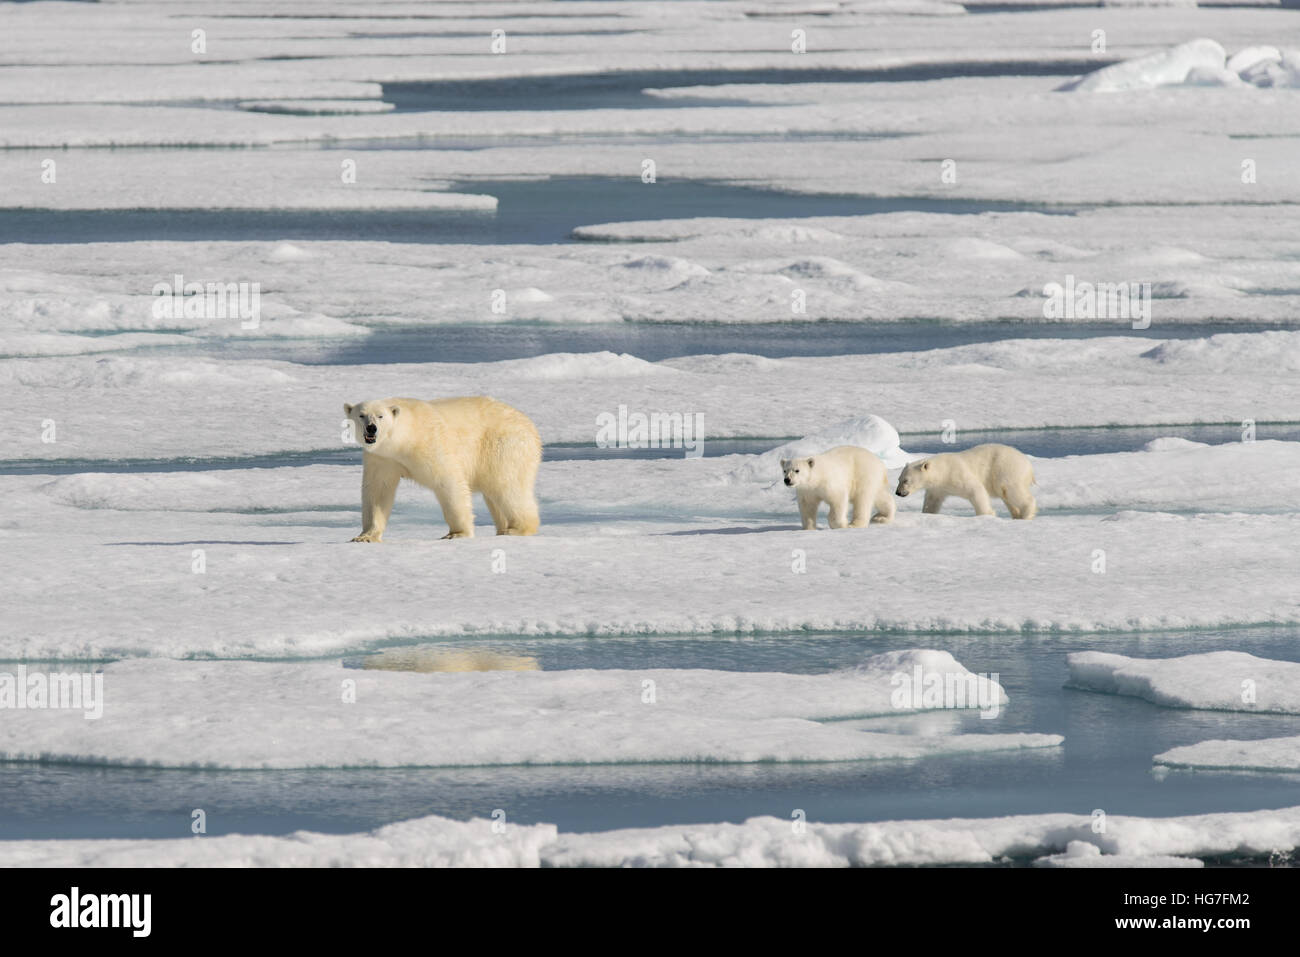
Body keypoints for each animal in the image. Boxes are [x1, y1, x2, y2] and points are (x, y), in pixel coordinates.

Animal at [343, 396, 541, 541]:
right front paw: (365, 536)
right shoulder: (383, 458)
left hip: (503, 446)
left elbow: (449, 481)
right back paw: (503, 529)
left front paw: (457, 533)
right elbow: (378, 491)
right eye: (361, 415)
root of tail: (530, 425)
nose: (371, 428)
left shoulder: (430, 444)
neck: (405, 438)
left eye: (380, 416)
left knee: (507, 486)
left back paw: (517, 529)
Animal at [894, 443, 1037, 519]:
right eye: (899, 479)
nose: (898, 492)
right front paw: (927, 513)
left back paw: (1026, 514)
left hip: (1006, 469)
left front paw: (987, 514)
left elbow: (976, 489)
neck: (943, 471)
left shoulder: (957, 474)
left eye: (906, 480)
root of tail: (1029, 466)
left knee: (1012, 490)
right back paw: (1016, 515)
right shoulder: (938, 488)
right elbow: (932, 501)